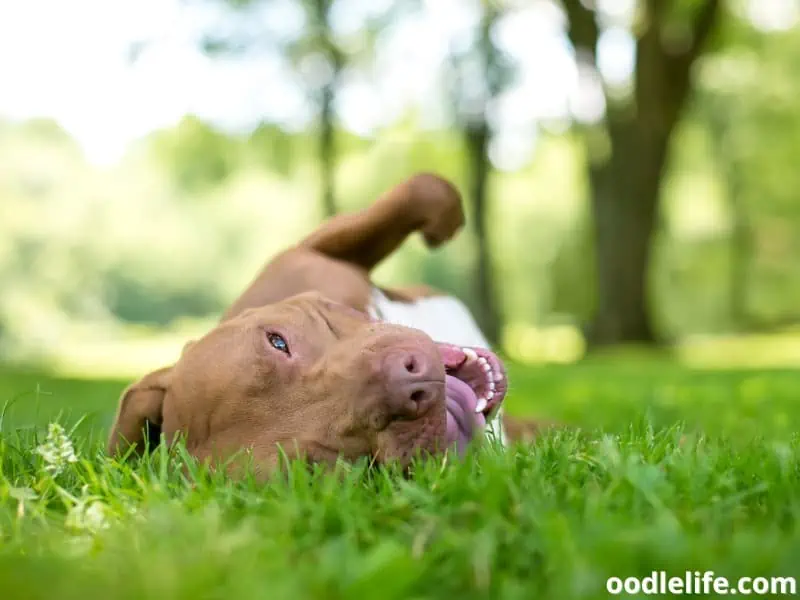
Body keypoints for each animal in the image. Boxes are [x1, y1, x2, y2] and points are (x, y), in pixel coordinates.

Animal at [108, 171, 544, 476]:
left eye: (278, 341)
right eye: (319, 469)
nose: (412, 389)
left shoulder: (316, 252)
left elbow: (421, 189)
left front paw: (442, 222)